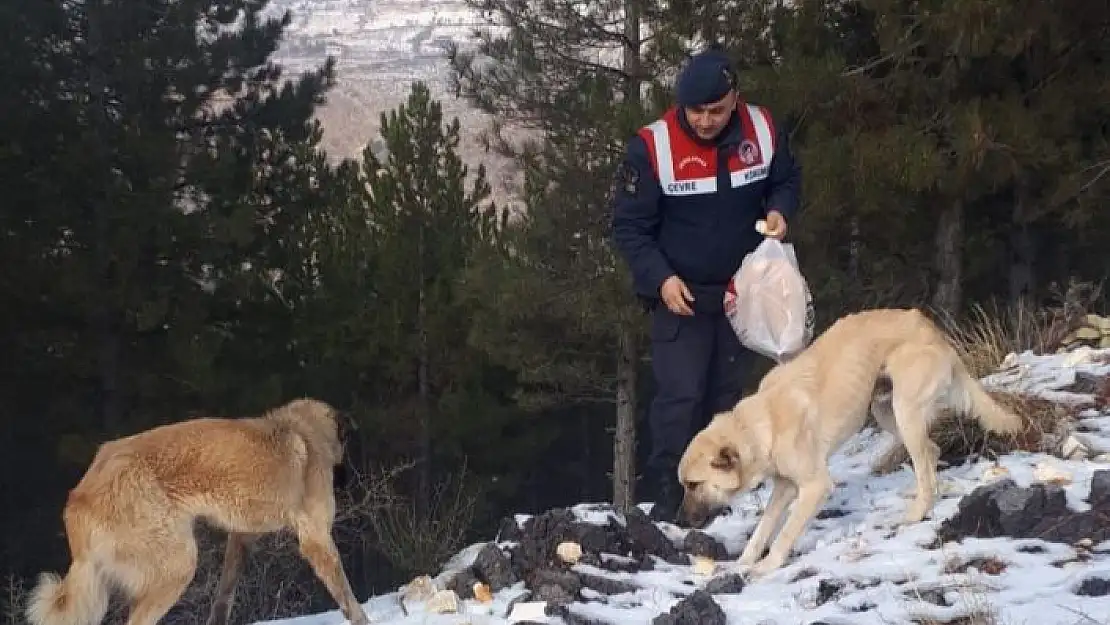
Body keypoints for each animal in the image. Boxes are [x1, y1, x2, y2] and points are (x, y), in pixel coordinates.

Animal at [24, 399, 368, 625]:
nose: (349, 480)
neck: (303, 433)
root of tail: (78, 496)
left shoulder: (240, 538)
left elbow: (224, 596)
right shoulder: (316, 539)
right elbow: (347, 595)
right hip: (179, 564)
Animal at [670, 308, 1016, 577]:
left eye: (694, 484)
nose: (678, 521)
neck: (758, 426)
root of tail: (929, 326)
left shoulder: (814, 487)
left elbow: (785, 533)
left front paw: (767, 567)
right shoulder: (784, 487)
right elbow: (762, 530)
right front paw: (743, 562)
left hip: (904, 411)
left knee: (925, 460)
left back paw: (915, 513)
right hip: (886, 412)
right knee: (931, 452)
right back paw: (923, 494)